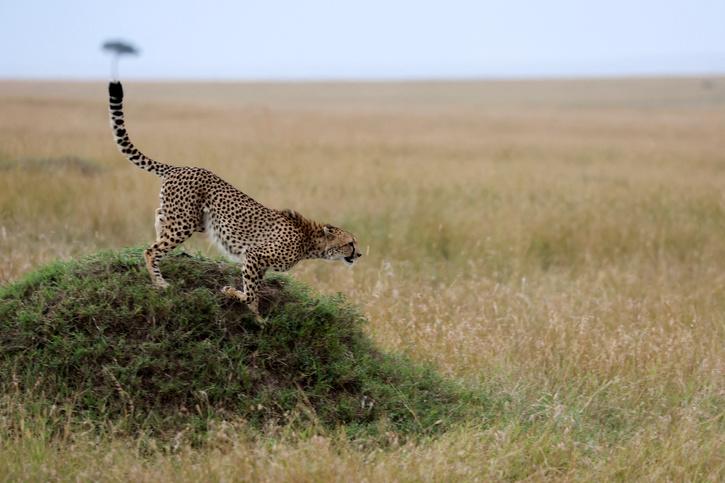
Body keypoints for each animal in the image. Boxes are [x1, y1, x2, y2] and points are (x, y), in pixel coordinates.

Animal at [107, 82, 362, 318]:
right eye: (350, 243)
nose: (359, 255)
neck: (309, 242)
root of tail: (181, 167)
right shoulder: (254, 255)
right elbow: (250, 292)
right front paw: (240, 300)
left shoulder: (258, 263)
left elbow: (254, 290)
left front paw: (255, 314)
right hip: (185, 223)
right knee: (151, 251)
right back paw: (159, 282)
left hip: (190, 219)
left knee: (159, 221)